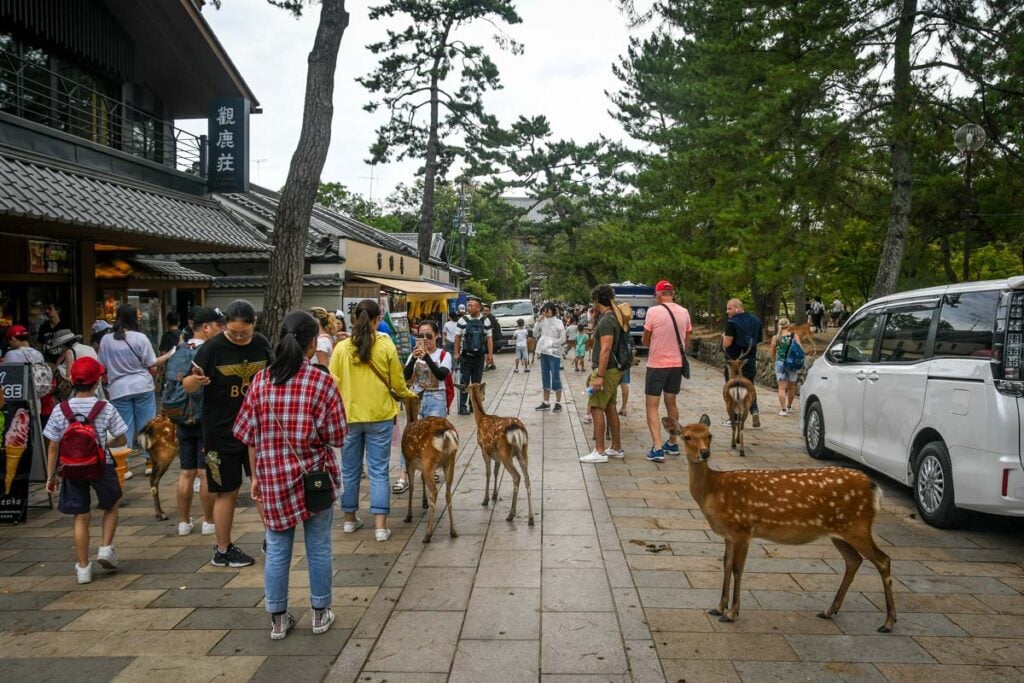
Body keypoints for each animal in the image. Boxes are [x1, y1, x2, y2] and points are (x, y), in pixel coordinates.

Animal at [399, 395, 460, 544]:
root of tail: (445, 432)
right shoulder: (421, 465)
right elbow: (421, 479)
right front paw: (424, 503)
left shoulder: (409, 461)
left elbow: (412, 487)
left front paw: (408, 516)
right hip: (450, 461)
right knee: (448, 492)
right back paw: (453, 531)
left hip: (429, 460)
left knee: (435, 491)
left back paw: (428, 534)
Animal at [464, 382, 536, 528]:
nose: (484, 396)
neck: (481, 419)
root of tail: (517, 431)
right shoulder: (496, 455)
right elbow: (496, 472)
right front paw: (494, 495)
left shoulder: (484, 450)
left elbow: (488, 473)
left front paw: (485, 499)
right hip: (523, 451)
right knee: (527, 477)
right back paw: (531, 518)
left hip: (505, 454)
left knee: (517, 476)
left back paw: (511, 514)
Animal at [663, 413, 897, 634]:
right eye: (687, 436)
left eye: (709, 435)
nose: (704, 453)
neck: (714, 491)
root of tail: (875, 489)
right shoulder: (729, 535)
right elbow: (726, 565)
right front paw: (719, 608)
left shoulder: (743, 529)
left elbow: (738, 569)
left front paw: (731, 613)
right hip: (839, 532)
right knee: (854, 560)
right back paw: (829, 611)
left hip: (858, 526)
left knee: (883, 560)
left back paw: (888, 622)